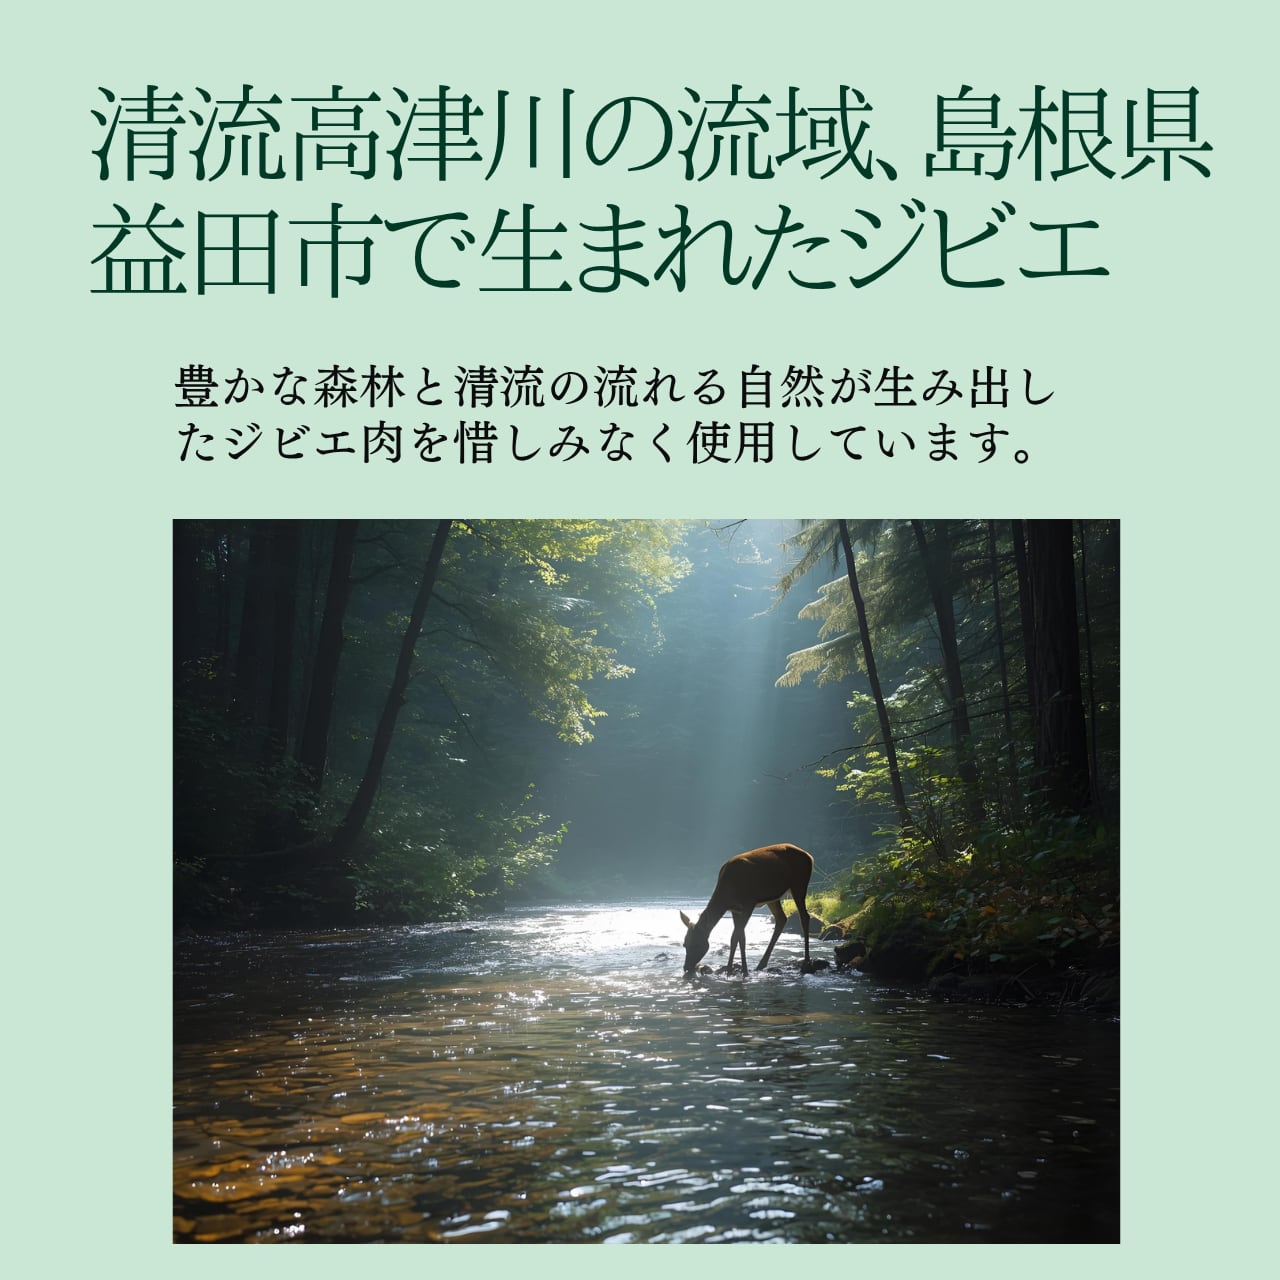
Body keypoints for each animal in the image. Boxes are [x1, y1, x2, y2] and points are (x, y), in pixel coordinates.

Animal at [680, 843, 814, 977]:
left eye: (697, 944)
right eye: (684, 944)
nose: (686, 967)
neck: (727, 893)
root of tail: (810, 857)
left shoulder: (749, 903)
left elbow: (737, 936)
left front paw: (737, 970)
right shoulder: (735, 909)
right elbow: (739, 937)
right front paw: (736, 969)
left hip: (799, 884)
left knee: (804, 916)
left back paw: (806, 962)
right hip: (773, 898)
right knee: (781, 918)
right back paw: (761, 964)